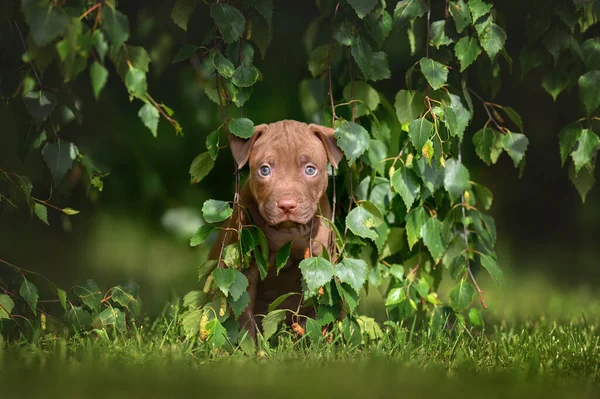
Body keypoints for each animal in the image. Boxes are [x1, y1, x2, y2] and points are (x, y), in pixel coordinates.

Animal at [210, 120, 342, 340]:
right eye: (265, 170)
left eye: (310, 170)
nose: (287, 205)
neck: (287, 233)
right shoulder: (245, 271)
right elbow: (245, 318)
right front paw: (249, 346)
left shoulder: (321, 261)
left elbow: (324, 310)